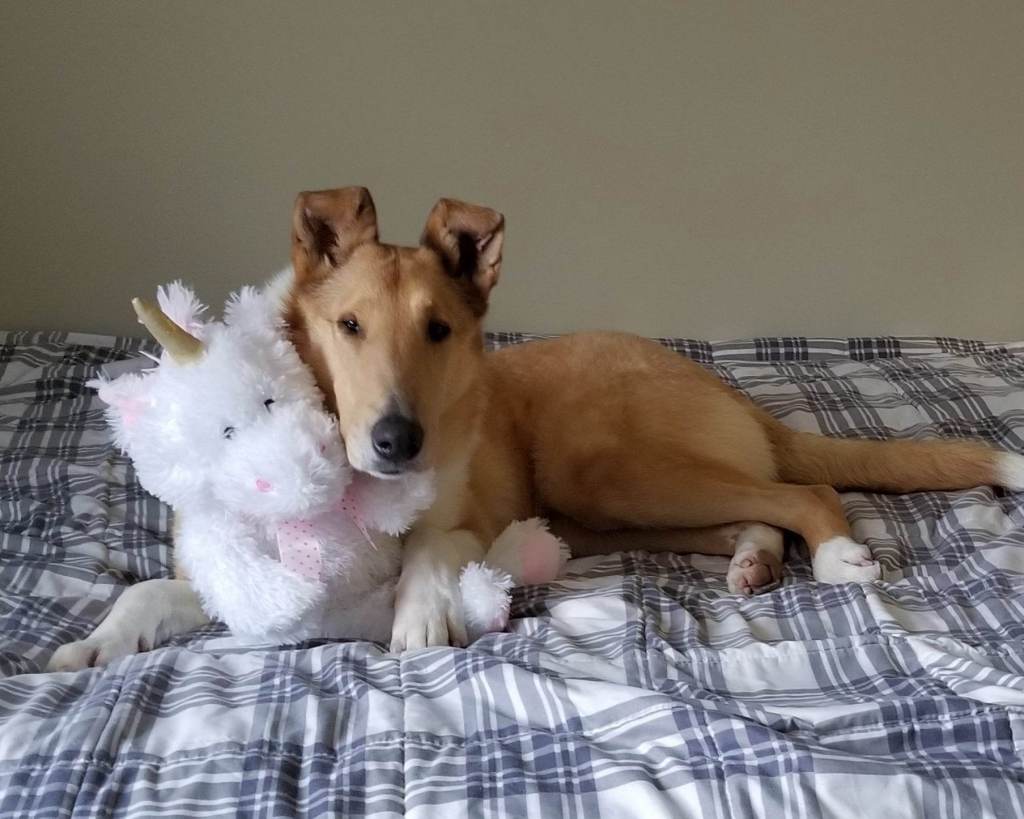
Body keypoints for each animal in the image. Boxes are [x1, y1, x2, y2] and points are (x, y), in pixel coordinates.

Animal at [285, 186, 1024, 651]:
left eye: (438, 330)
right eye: (349, 325)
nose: (397, 442)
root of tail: (720, 384)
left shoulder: (472, 515)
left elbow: (428, 544)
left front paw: (420, 616)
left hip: (600, 473)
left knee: (805, 491)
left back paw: (836, 555)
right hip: (593, 512)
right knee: (756, 511)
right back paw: (756, 558)